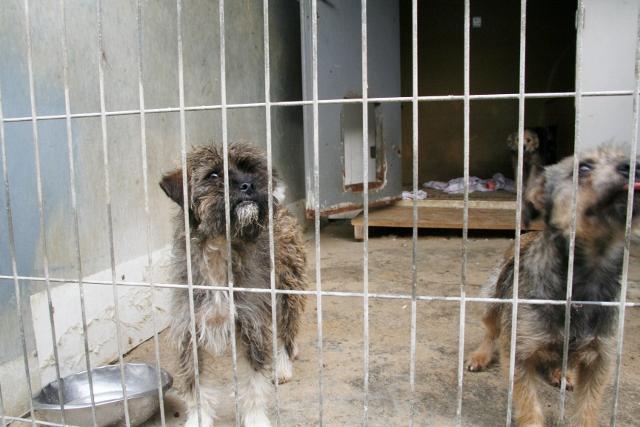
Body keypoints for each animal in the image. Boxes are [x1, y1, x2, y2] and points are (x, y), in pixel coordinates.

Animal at [159, 142, 307, 427]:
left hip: (288, 289)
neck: (219, 249)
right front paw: (199, 418)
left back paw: (283, 364)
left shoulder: (252, 324)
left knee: (287, 329)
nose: (250, 185)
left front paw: (255, 418)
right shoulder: (189, 331)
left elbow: (254, 381)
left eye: (250, 169)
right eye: (213, 175)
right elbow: (195, 384)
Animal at [467, 145, 639, 426]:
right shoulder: (518, 352)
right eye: (583, 168)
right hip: (491, 300)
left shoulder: (601, 358)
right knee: (492, 331)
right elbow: (529, 404)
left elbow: (588, 407)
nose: (633, 167)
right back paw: (479, 356)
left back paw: (562, 372)